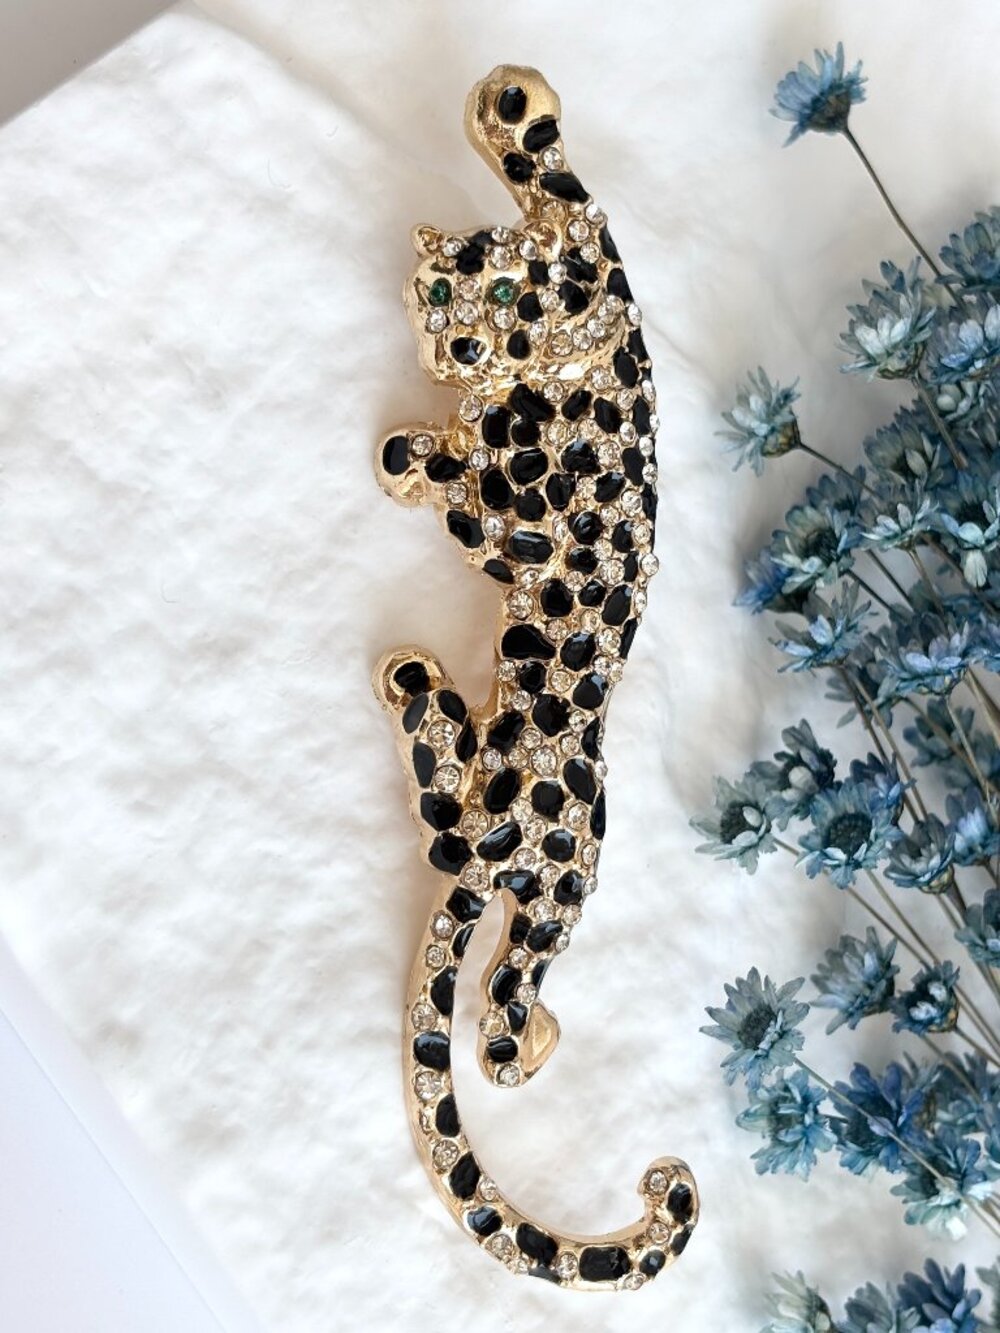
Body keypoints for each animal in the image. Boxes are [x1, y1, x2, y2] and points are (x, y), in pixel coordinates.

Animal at [373, 64, 698, 1291]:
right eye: (437, 291)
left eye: (515, 289)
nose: (458, 348)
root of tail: (503, 839)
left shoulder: (524, 532)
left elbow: (461, 491)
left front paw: (414, 454)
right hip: (510, 845)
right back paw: (419, 692)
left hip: (556, 886)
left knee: (506, 1005)